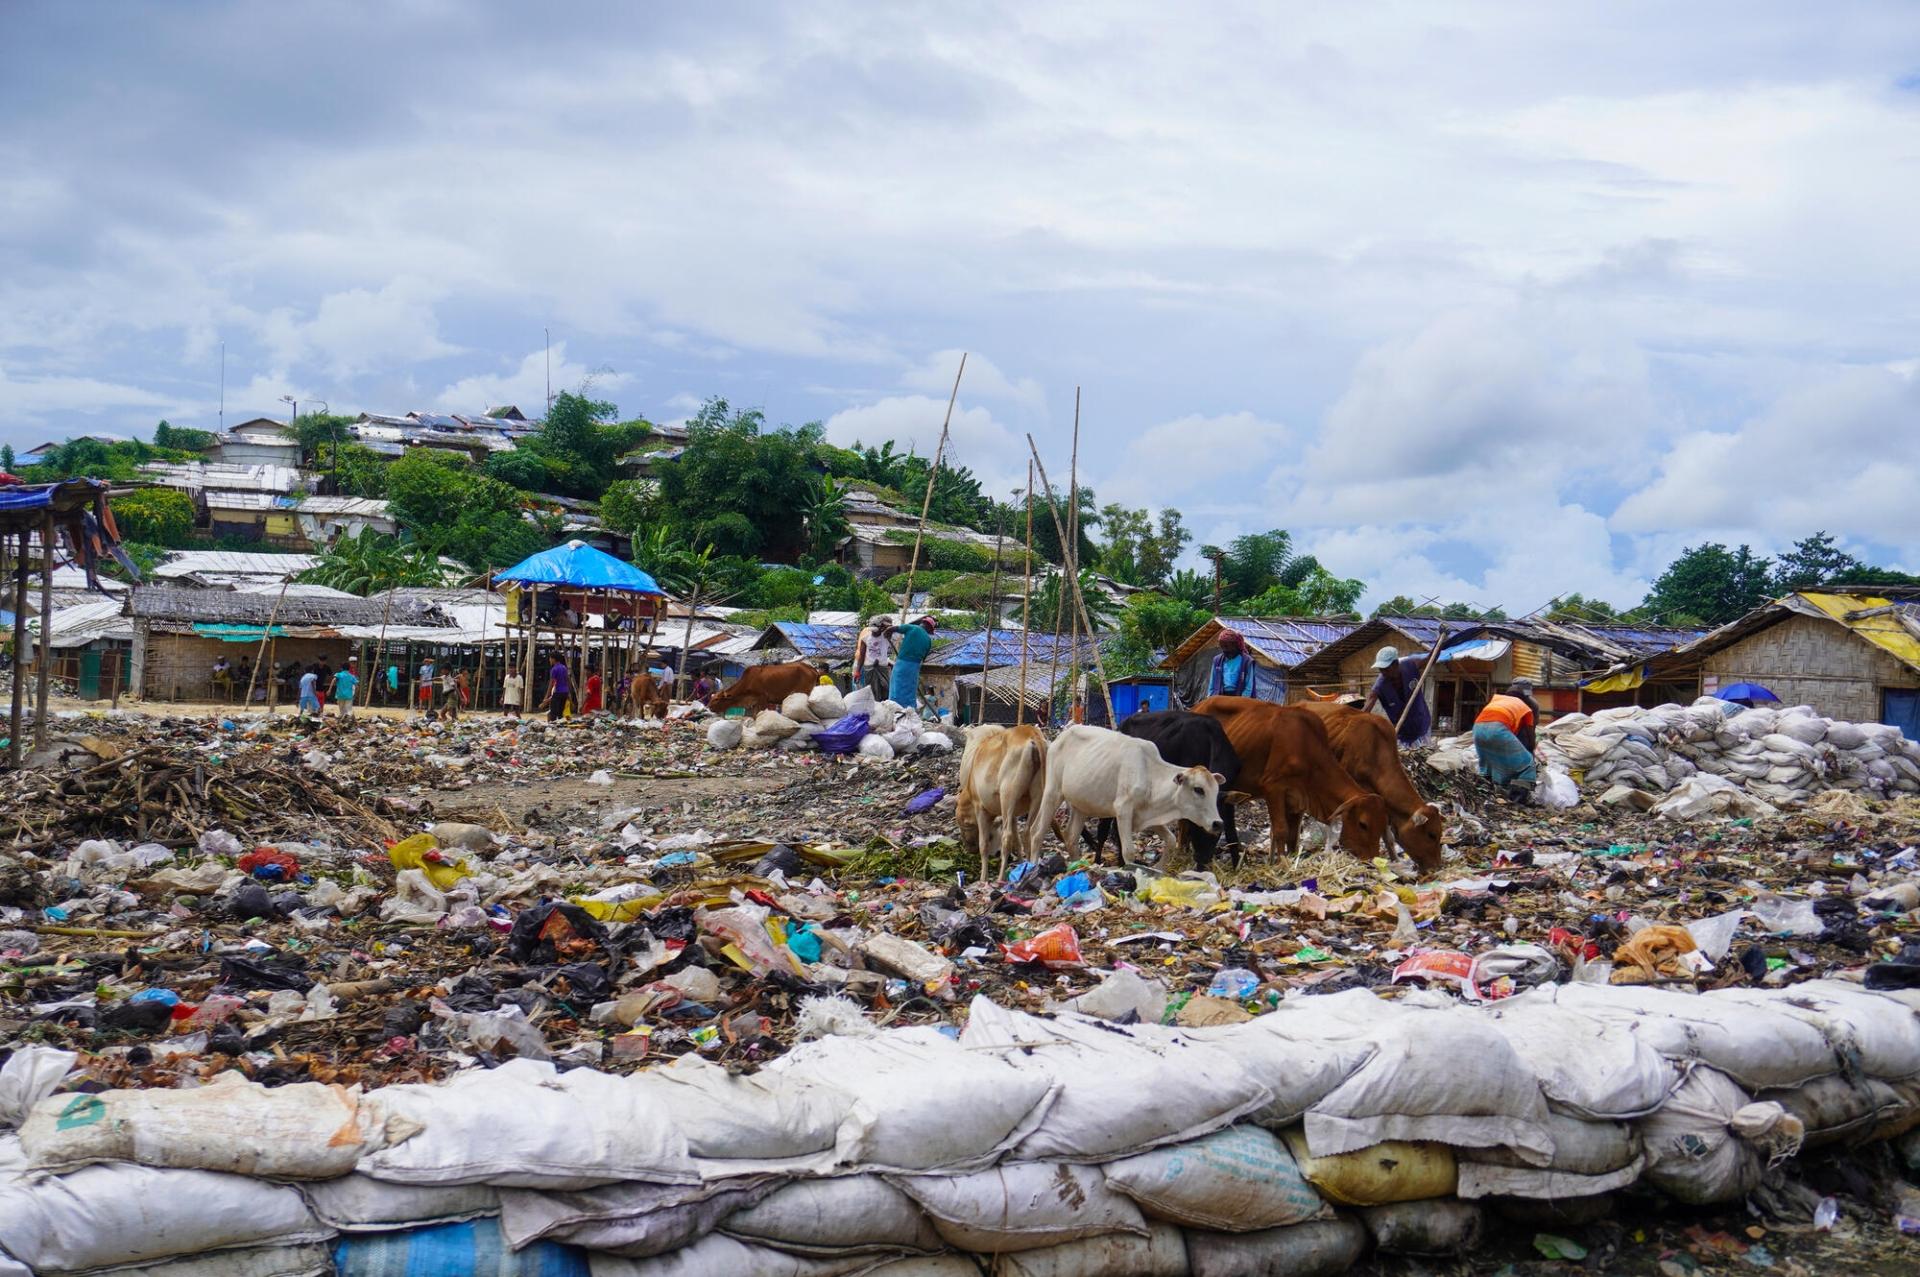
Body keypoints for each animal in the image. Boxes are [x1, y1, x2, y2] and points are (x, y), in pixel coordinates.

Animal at [960, 722, 1052, 883]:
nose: (969, 849)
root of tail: (1031, 733)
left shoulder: (980, 808)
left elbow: (984, 844)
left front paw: (983, 878)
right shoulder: (1013, 815)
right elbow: (1018, 841)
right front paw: (1020, 863)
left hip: (1008, 795)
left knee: (1007, 837)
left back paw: (1000, 878)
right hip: (1038, 796)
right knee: (1028, 832)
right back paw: (1027, 868)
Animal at [1029, 725, 1221, 867]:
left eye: (1216, 791)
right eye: (1198, 789)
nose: (1218, 823)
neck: (1150, 775)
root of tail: (1060, 737)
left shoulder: (1147, 816)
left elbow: (1171, 840)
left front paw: (1159, 869)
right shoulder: (1123, 810)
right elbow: (1128, 851)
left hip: (1080, 805)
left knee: (1070, 837)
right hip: (1053, 793)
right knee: (1037, 831)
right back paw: (1033, 866)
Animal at [1098, 710, 1244, 871]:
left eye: (1217, 830)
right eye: (1196, 825)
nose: (1201, 863)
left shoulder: (1227, 803)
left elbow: (1232, 833)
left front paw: (1237, 866)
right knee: (1104, 828)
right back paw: (1102, 860)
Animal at [1190, 691, 1390, 860]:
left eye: (1382, 826)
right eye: (1363, 824)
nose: (1371, 859)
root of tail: (1197, 706)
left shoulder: (1298, 799)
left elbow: (1293, 837)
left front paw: (1292, 859)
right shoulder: (1273, 789)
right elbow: (1280, 831)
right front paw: (1282, 863)